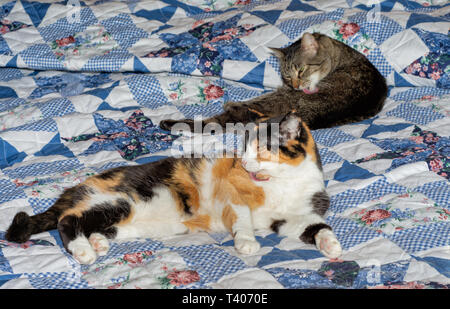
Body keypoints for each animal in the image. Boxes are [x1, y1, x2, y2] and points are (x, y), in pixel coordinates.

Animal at [5, 112, 342, 264]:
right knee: (67, 220)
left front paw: (332, 245)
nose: (244, 162)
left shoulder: (294, 217)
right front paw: (246, 242)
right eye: (243, 149)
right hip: (117, 200)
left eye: (259, 149)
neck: (284, 183)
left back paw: (98, 242)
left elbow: (317, 227)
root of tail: (74, 189)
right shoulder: (232, 194)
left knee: (96, 226)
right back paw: (84, 250)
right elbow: (243, 219)